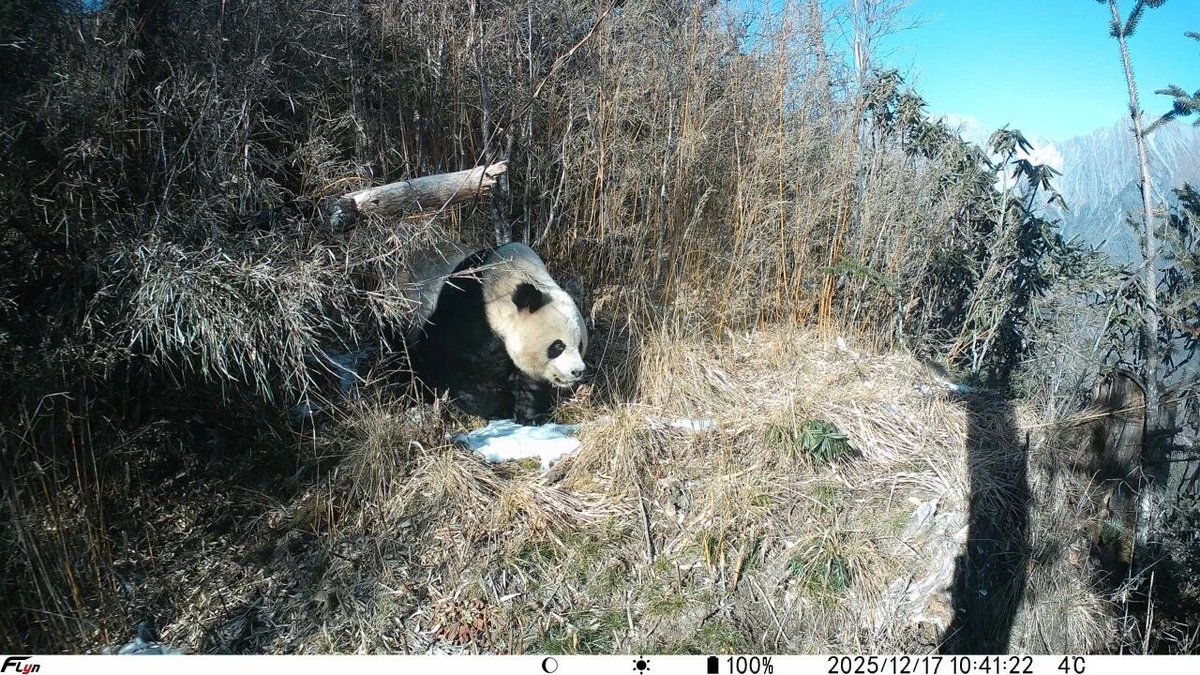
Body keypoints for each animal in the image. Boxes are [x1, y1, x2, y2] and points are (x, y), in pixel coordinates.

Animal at [402, 241, 588, 425]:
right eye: (558, 346)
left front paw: (531, 417)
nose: (577, 371)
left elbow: (528, 381)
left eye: (580, 345)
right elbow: (450, 361)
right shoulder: (465, 313)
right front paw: (492, 408)